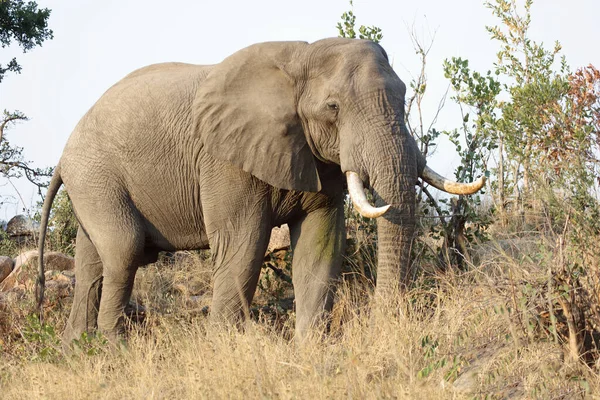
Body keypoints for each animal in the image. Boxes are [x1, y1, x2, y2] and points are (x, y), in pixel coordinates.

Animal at [36, 37, 482, 342]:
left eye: (405, 96)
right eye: (333, 108)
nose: (382, 324)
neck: (299, 60)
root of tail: (63, 153)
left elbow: (320, 245)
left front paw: (308, 349)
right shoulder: (224, 159)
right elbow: (243, 245)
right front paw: (224, 349)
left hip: (92, 182)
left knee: (91, 263)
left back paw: (77, 350)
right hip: (96, 175)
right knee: (124, 250)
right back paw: (113, 349)